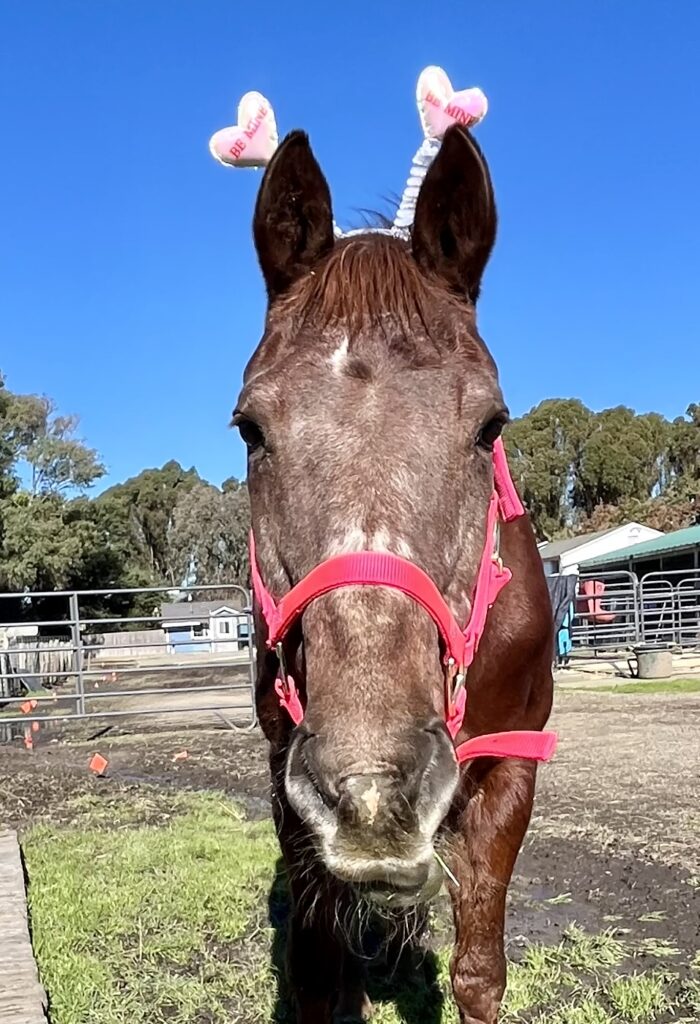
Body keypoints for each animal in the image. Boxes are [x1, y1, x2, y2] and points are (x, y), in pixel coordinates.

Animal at [235, 124, 555, 1023]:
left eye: (491, 426)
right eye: (249, 429)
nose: (374, 785)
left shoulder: (511, 772)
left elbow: (479, 970)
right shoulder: (290, 780)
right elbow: (319, 974)